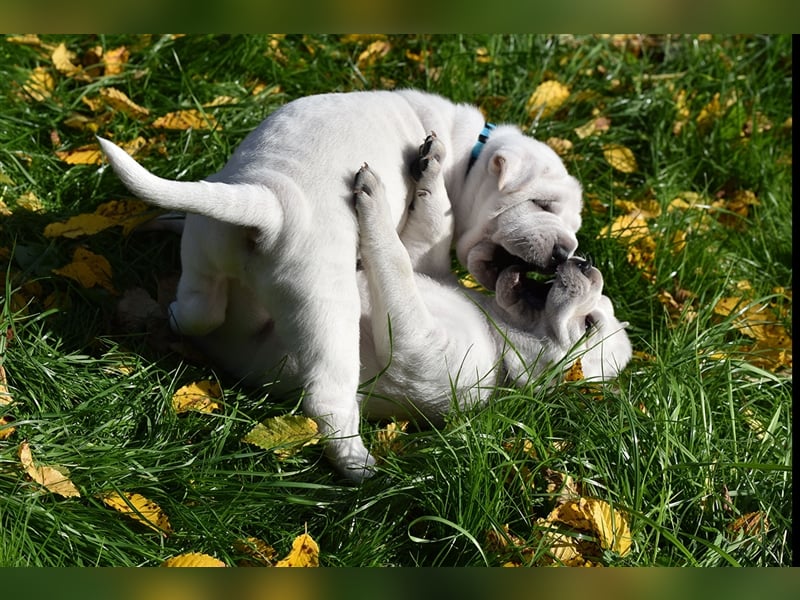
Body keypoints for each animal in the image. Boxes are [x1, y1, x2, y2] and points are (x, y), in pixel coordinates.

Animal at [97, 88, 584, 478]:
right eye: (542, 204)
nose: (568, 254)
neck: (468, 152)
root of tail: (273, 203)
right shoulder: (427, 222)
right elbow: (434, 214)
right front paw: (429, 167)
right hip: (326, 309)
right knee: (327, 399)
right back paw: (358, 466)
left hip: (207, 246)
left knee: (201, 310)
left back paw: (176, 309)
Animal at [350, 138, 632, 424]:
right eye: (605, 303)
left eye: (588, 325)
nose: (588, 266)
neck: (496, 328)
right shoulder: (426, 262)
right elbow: (436, 228)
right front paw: (432, 168)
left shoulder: (417, 344)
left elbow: (397, 261)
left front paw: (375, 200)